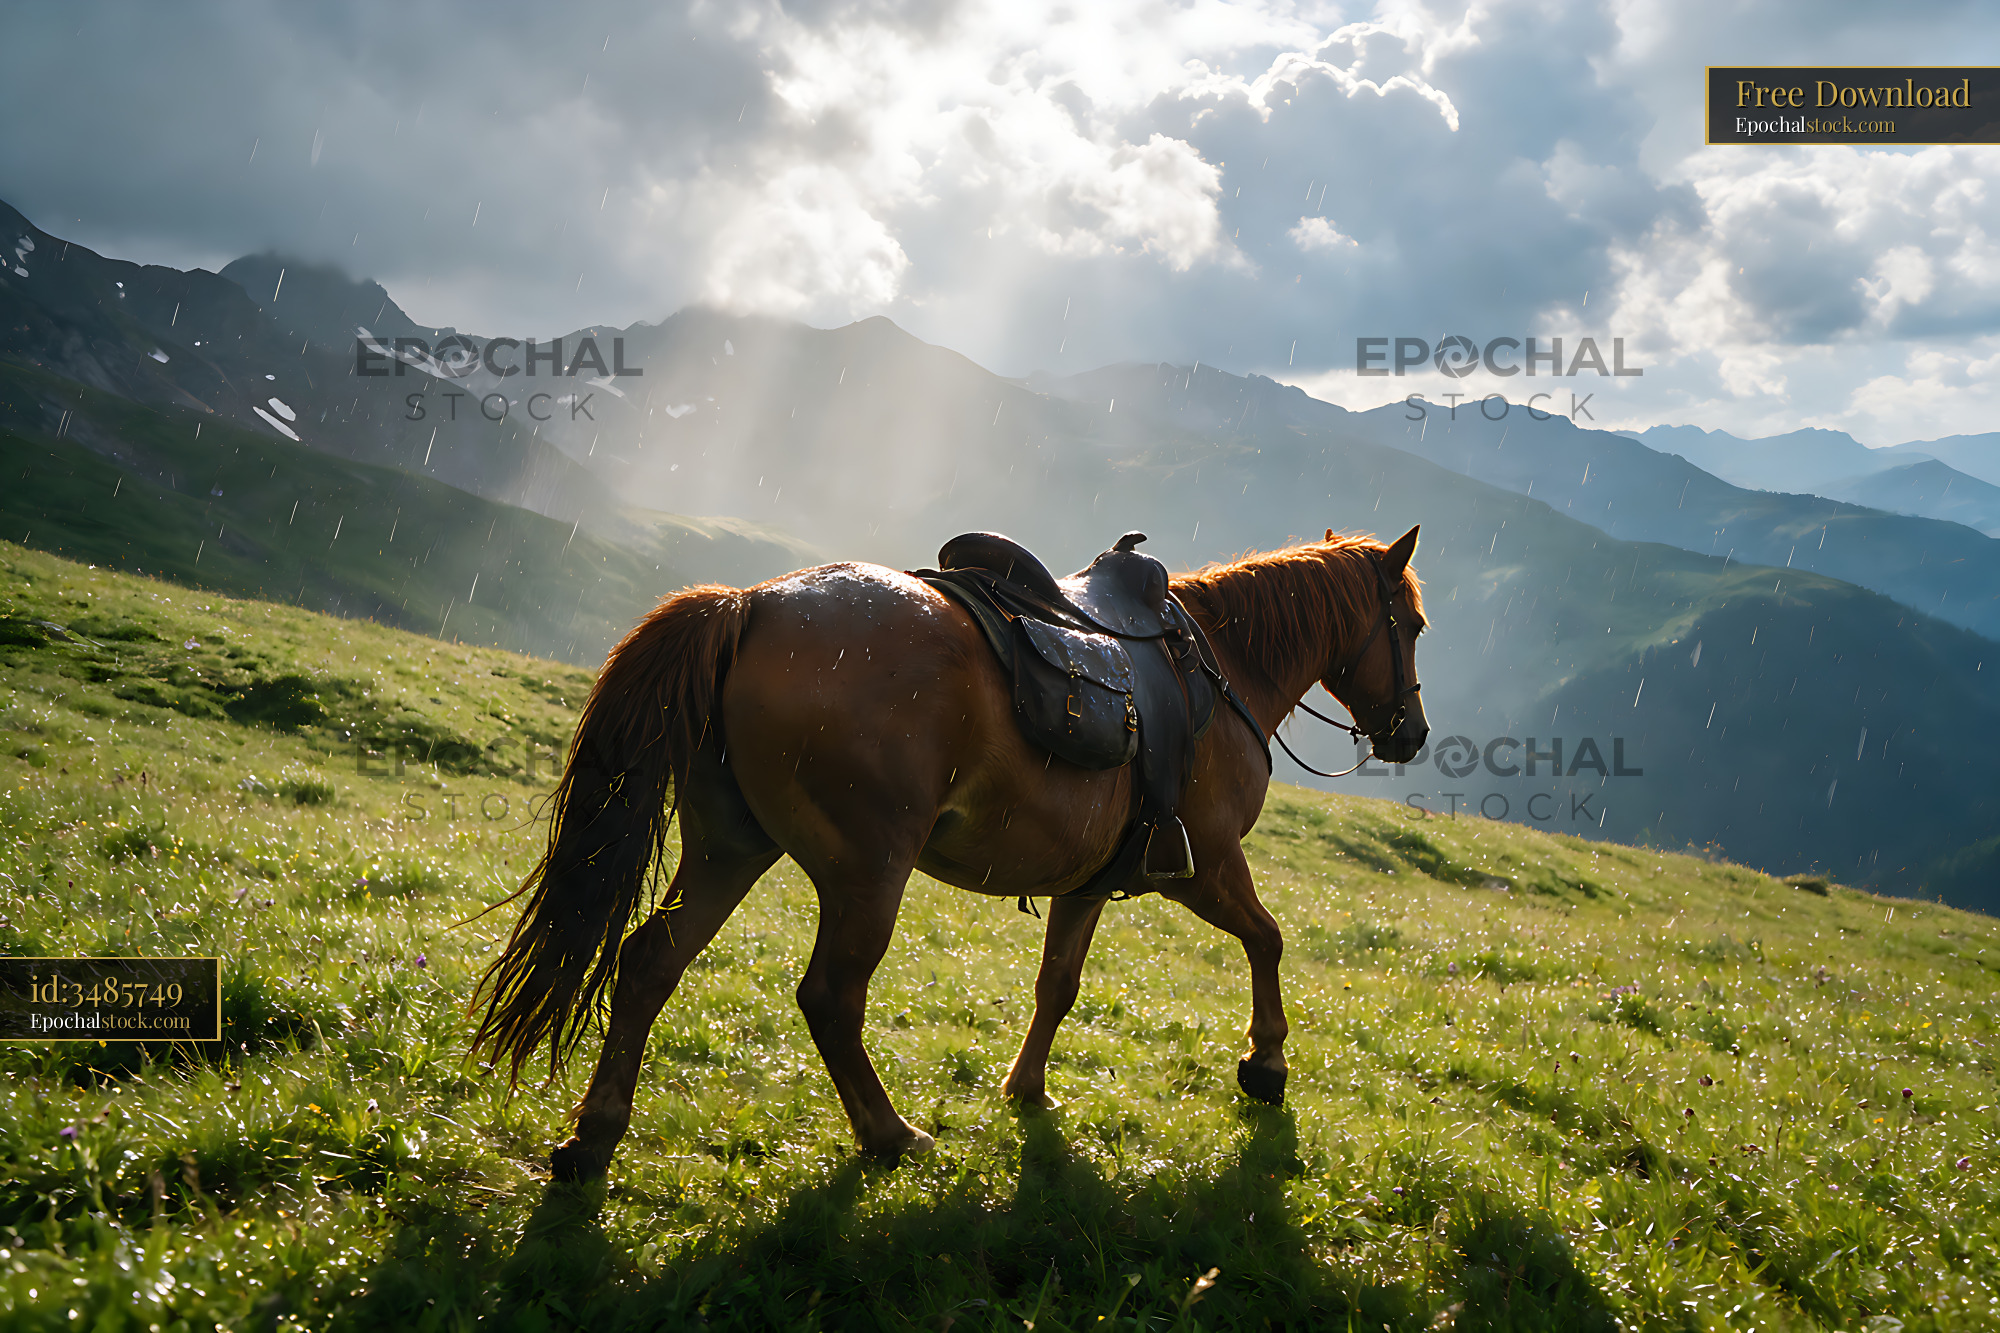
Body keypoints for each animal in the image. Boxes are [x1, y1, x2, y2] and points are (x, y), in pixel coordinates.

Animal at [470, 526, 1429, 1179]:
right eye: (1412, 623)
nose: (1413, 733)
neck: (1220, 667)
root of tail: (751, 605)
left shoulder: (1091, 880)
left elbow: (1058, 983)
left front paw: (1028, 1088)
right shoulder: (1206, 863)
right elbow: (1268, 938)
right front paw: (1266, 1062)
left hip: (730, 845)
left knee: (648, 962)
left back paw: (595, 1134)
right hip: (866, 869)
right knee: (829, 996)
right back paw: (888, 1133)